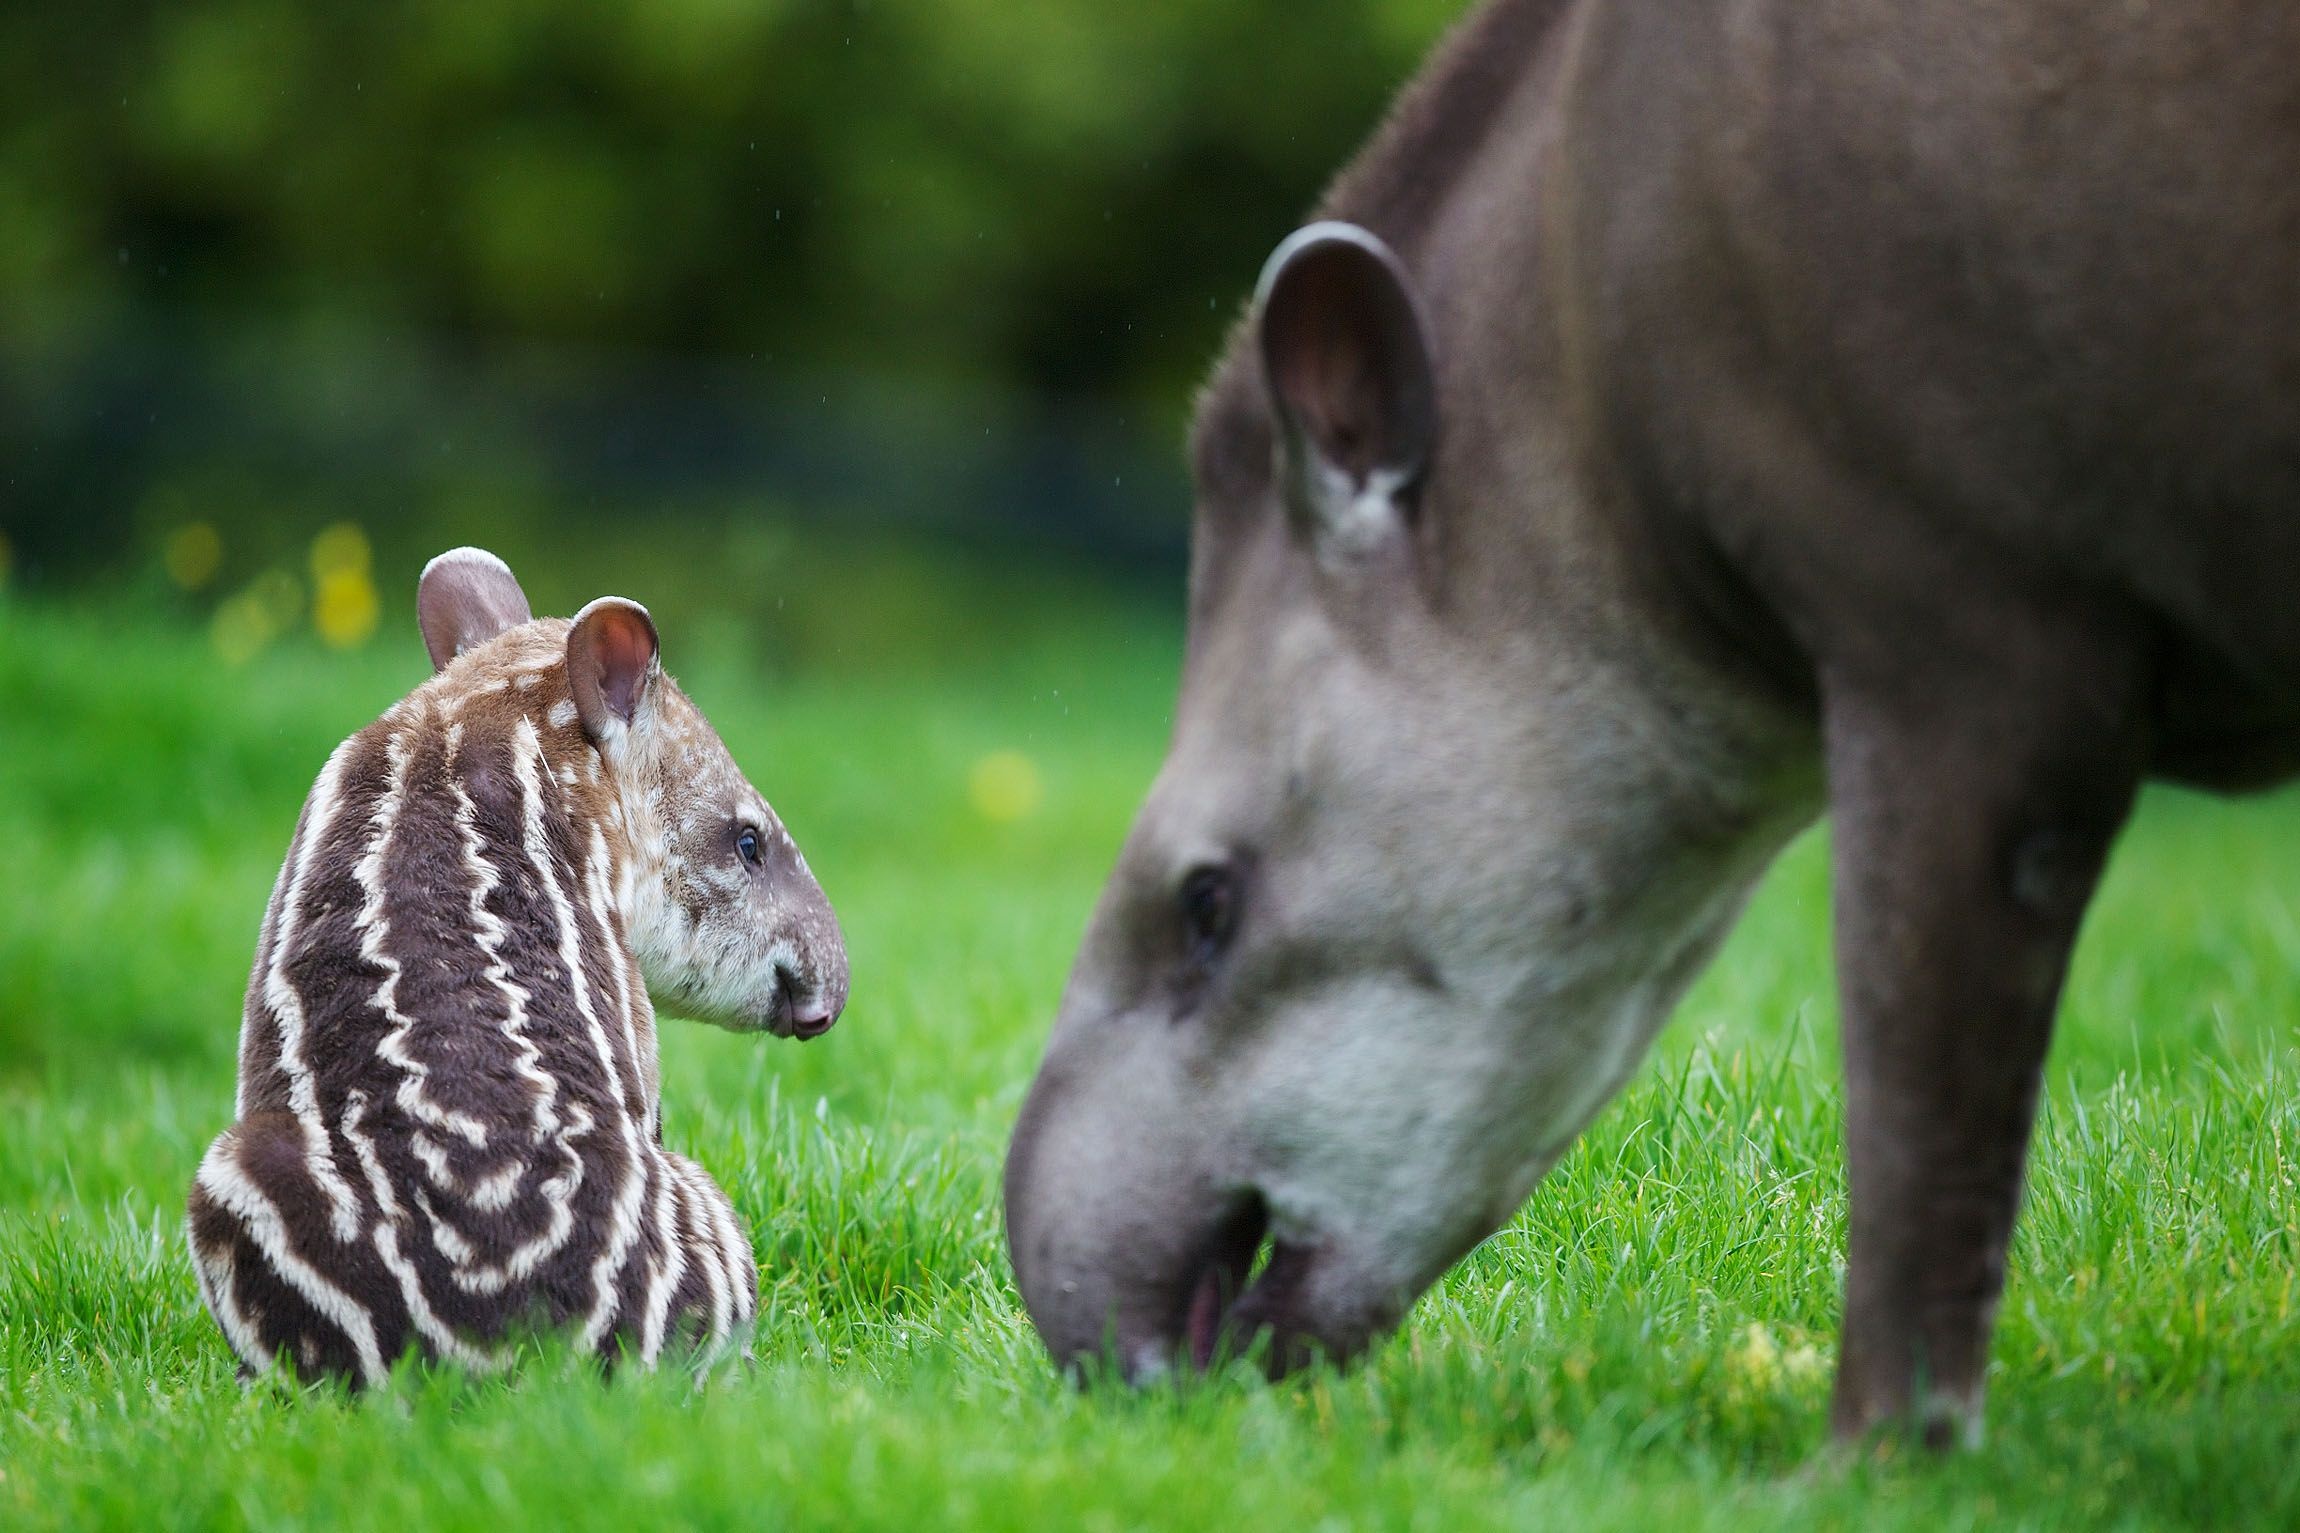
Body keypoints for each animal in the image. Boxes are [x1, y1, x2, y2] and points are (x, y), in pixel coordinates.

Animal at [179, 551, 846, 1388]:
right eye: (748, 841)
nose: (832, 988)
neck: (485, 708)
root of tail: (517, 1349)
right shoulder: (631, 1009)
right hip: (703, 1210)